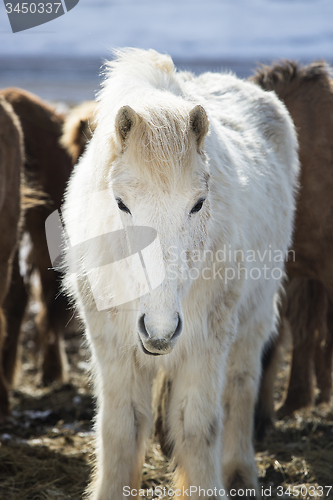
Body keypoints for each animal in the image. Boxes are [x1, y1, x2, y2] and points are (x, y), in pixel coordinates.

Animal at [62, 48, 298, 498]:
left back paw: (240, 472)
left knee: (241, 387)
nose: (160, 330)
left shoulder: (205, 346)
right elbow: (120, 430)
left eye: (198, 203)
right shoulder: (113, 350)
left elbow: (198, 427)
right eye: (121, 203)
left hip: (253, 319)